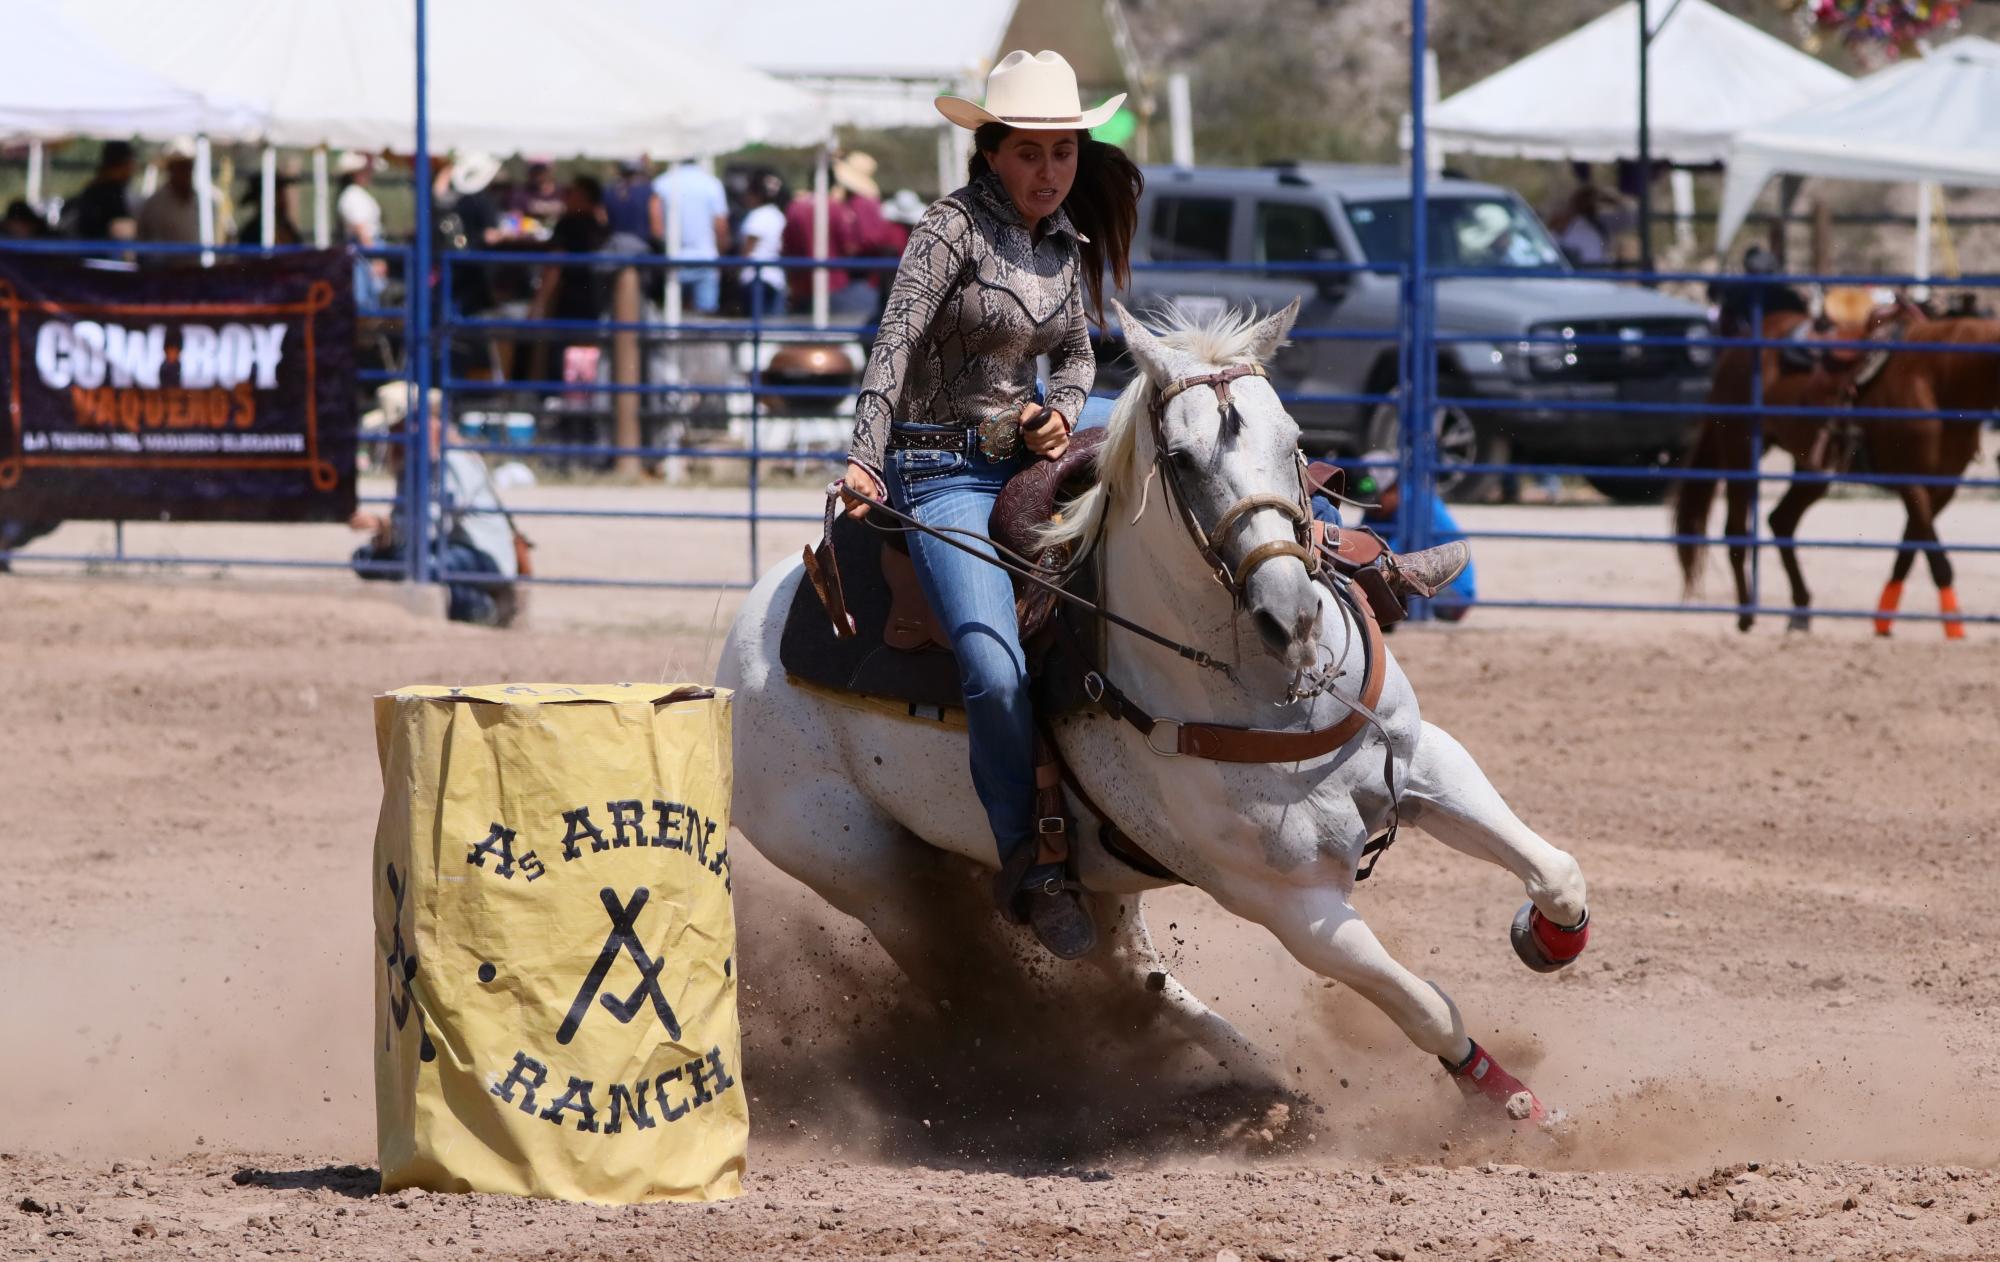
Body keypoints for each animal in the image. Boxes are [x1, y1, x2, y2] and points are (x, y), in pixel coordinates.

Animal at [720, 304, 1592, 1128]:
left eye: (1295, 439)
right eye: (1182, 460)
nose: (1291, 615)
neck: (1270, 692)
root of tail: (748, 635)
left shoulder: (1422, 759)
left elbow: (1555, 870)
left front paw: (1548, 939)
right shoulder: (1288, 903)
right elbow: (1422, 1006)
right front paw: (1513, 1102)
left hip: (1097, 876)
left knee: (1131, 968)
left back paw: (1264, 1081)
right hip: (871, 877)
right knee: (979, 977)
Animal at [1672, 308, 2000, 640]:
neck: (1938, 377)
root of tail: (1734, 351)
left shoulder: (1944, 487)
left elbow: (1909, 551)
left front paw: (1883, 620)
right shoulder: (1912, 482)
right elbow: (1937, 558)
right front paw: (1954, 627)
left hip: (1813, 467)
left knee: (1781, 520)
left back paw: (1800, 612)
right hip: (1741, 448)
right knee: (1737, 531)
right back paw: (1746, 614)